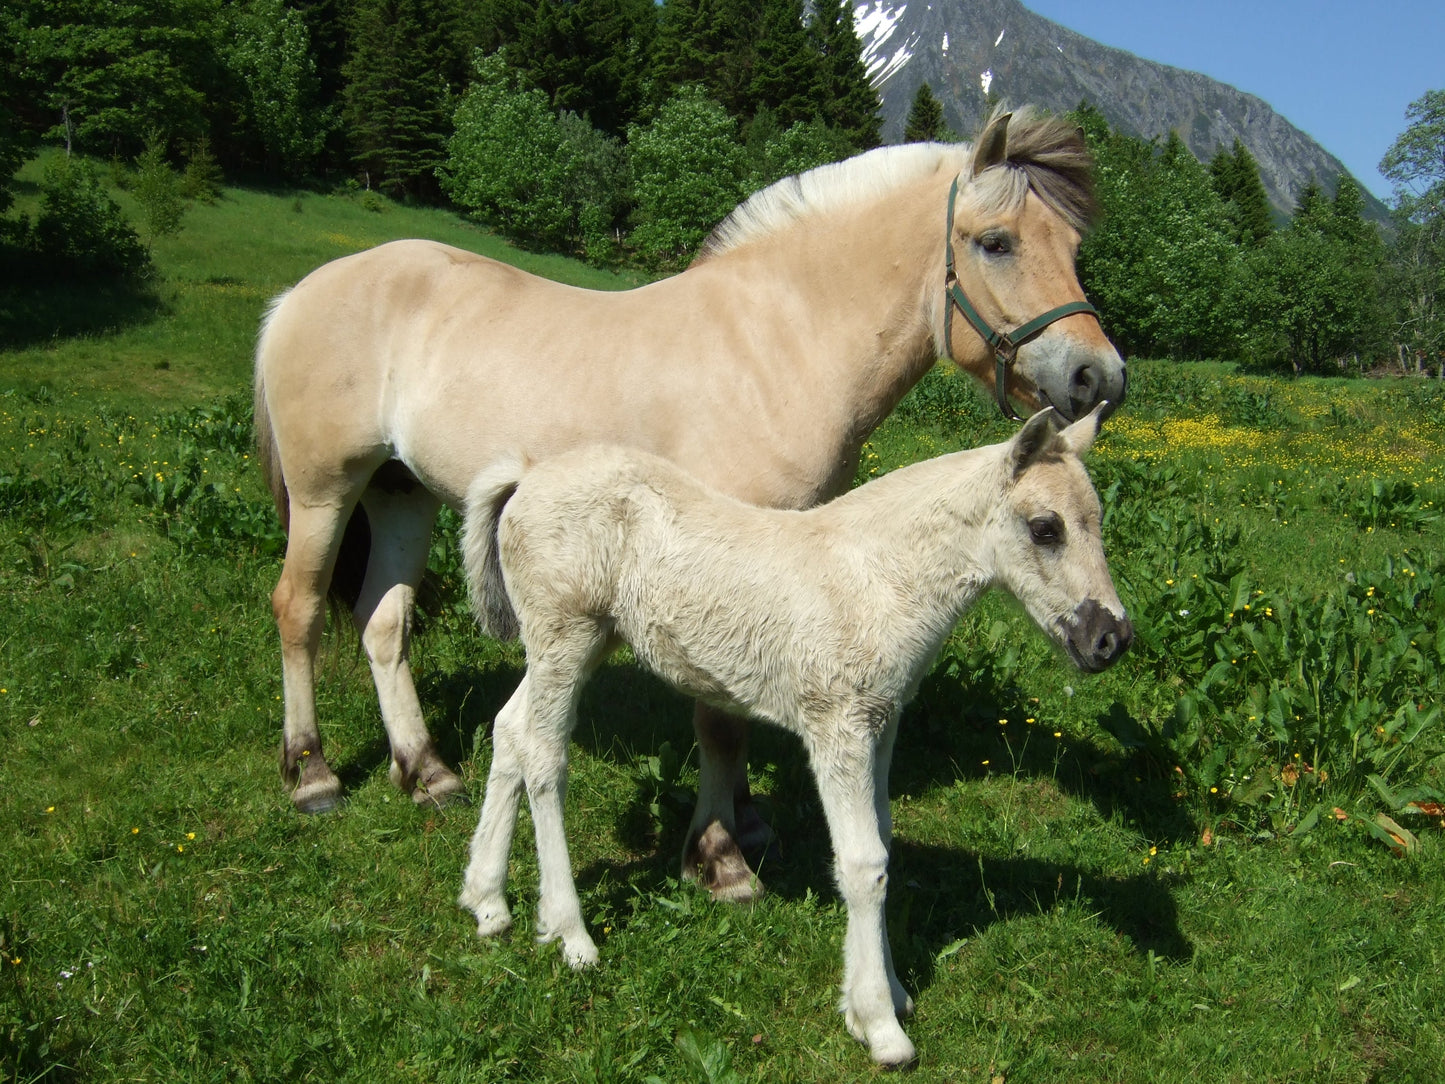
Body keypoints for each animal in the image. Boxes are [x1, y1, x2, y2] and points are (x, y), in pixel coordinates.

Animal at [254, 106, 1121, 901]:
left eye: (1072, 248)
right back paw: (312, 774)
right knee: (298, 607)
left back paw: (425, 770)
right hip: (327, 491)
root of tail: (299, 293)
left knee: (383, 622)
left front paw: (746, 820)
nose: (1098, 378)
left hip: (401, 494)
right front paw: (720, 858)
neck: (775, 344)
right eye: (995, 242)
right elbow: (718, 719)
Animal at [450, 407, 1127, 1069]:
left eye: (1096, 519)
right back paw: (570, 933)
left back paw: (487, 901)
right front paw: (880, 1026)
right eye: (1045, 528)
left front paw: (888, 992)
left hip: (580, 643)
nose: (1111, 640)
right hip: (566, 635)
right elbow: (863, 863)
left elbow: (882, 838)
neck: (877, 577)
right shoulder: (839, 728)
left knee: (510, 731)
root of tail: (526, 479)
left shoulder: (883, 722)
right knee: (544, 757)